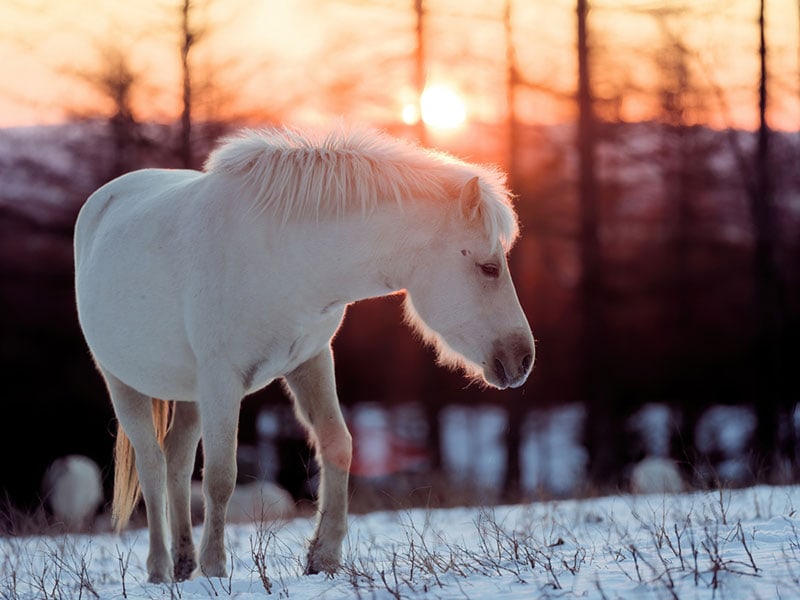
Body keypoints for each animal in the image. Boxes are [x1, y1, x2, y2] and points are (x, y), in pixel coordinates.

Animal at [75, 125, 536, 580]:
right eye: (489, 268)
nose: (523, 359)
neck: (285, 258)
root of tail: (104, 199)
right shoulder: (222, 380)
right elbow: (222, 476)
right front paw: (216, 569)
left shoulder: (310, 361)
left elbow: (337, 444)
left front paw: (324, 557)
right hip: (124, 384)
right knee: (152, 465)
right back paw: (161, 568)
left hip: (190, 393)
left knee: (175, 459)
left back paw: (184, 561)